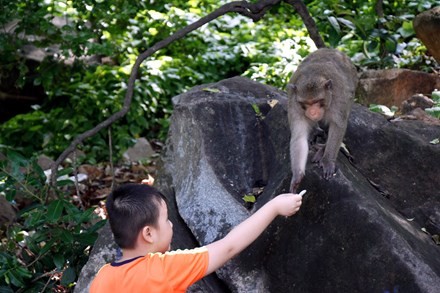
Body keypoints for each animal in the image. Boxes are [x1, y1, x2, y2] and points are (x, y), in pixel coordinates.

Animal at [288, 48, 360, 192]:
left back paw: (322, 149)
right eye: (306, 103)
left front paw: (327, 160)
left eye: (317, 101)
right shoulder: (294, 105)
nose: (312, 112)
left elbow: (338, 126)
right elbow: (299, 136)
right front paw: (297, 176)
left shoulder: (338, 98)